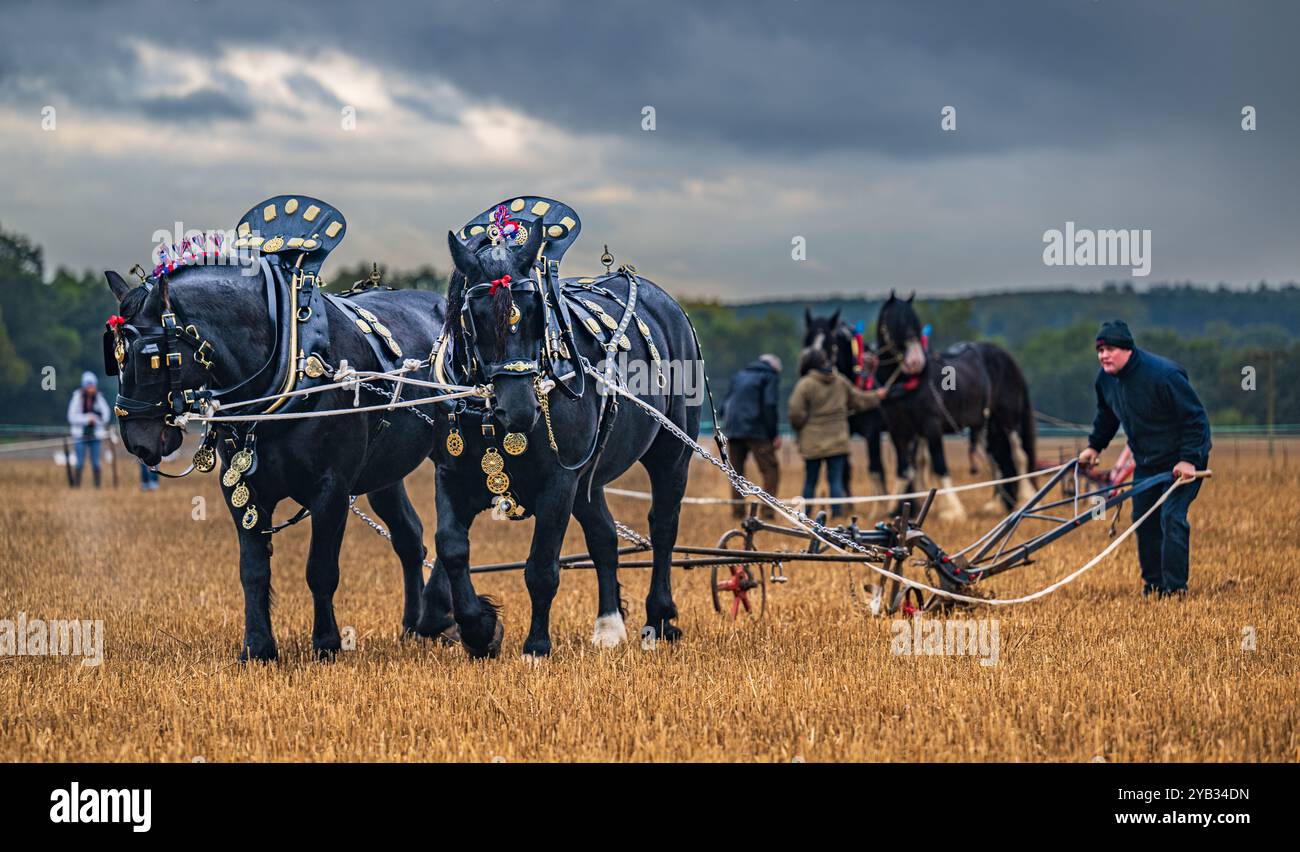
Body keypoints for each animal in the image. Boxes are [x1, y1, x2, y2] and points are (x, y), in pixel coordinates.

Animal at [873, 293, 1034, 520]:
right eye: (894, 323)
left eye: (916, 323)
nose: (915, 362)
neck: (905, 383)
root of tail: (1007, 358)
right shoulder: (898, 429)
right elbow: (904, 468)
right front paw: (894, 507)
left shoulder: (931, 424)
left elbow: (939, 463)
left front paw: (952, 509)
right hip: (988, 424)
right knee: (996, 459)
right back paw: (996, 504)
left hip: (1008, 418)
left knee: (1019, 456)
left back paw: (1026, 498)